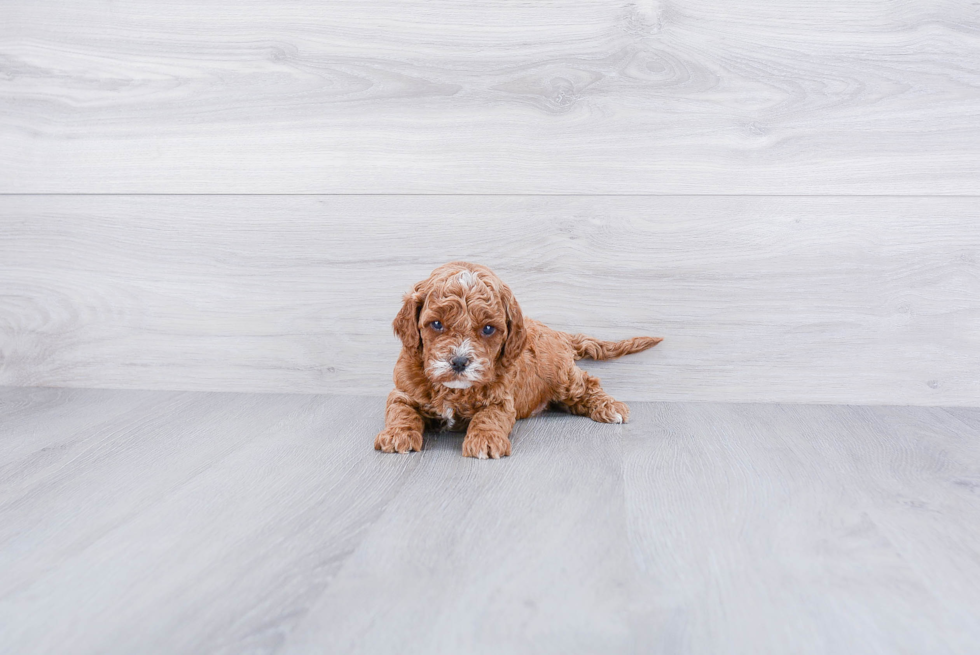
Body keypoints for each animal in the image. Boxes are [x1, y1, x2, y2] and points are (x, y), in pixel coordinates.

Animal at [372, 262, 664, 462]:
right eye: (436, 324)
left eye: (488, 329)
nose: (459, 362)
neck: (454, 390)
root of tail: (557, 333)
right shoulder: (403, 391)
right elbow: (401, 411)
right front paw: (397, 434)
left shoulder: (502, 398)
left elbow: (489, 416)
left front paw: (486, 440)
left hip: (564, 377)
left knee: (588, 384)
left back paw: (610, 406)